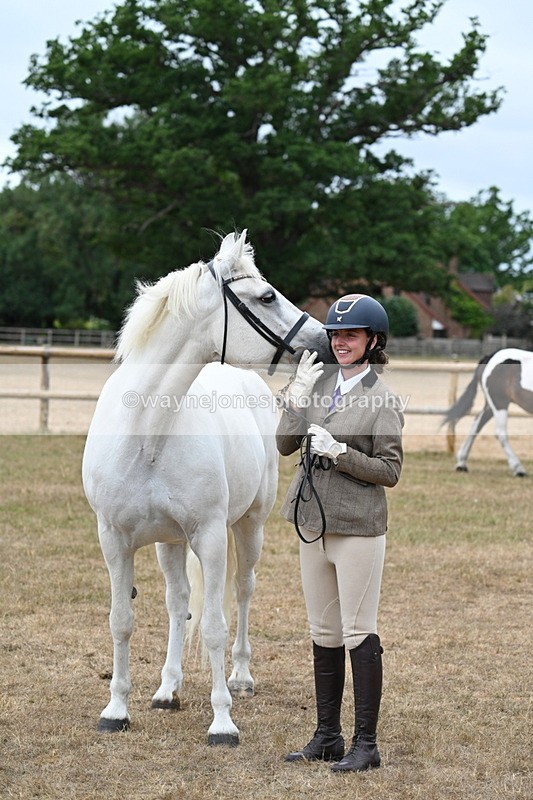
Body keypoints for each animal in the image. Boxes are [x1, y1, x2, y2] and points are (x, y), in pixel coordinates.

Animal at [82, 230, 331, 745]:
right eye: (267, 296)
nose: (324, 341)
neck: (147, 432)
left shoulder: (212, 537)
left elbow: (215, 626)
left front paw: (222, 722)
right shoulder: (114, 540)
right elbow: (122, 622)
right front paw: (116, 710)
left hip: (248, 529)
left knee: (242, 592)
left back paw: (240, 677)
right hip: (169, 543)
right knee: (179, 604)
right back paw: (167, 688)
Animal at [442, 348, 533, 476]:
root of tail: (489, 357)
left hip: (490, 406)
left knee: (476, 426)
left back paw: (461, 464)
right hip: (499, 403)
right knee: (500, 432)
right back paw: (518, 469)